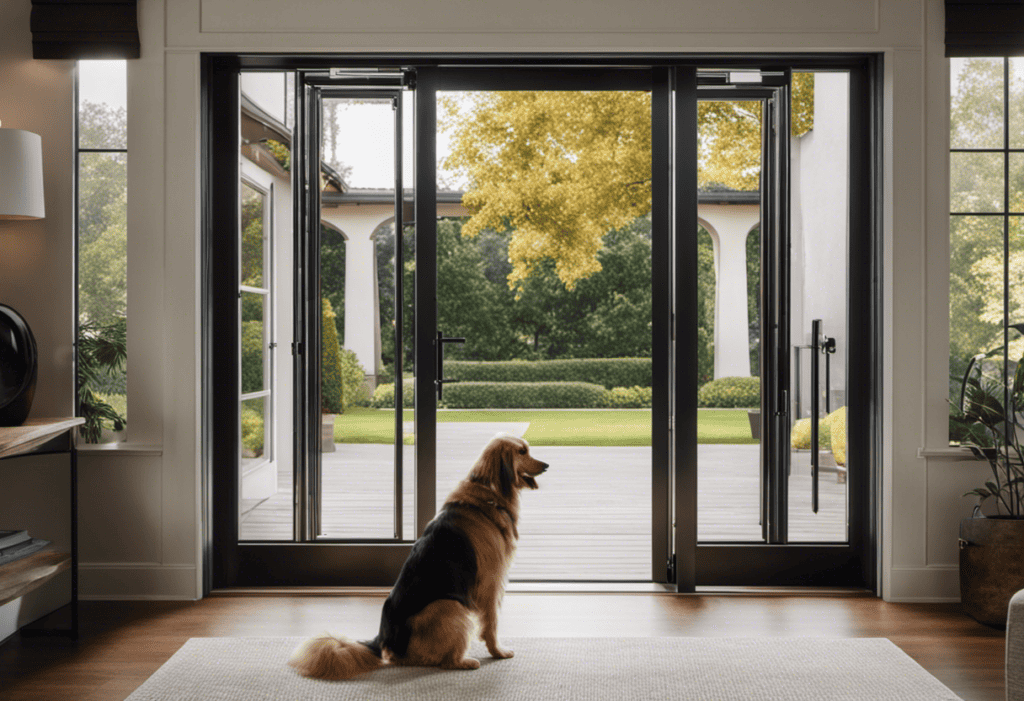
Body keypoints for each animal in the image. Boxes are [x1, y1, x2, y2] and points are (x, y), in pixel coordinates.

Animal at [290, 431, 544, 679]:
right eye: (522, 452)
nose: (546, 465)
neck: (488, 492)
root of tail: (382, 640)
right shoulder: (491, 583)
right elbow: (491, 624)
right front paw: (498, 651)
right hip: (451, 606)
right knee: (442, 661)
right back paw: (465, 661)